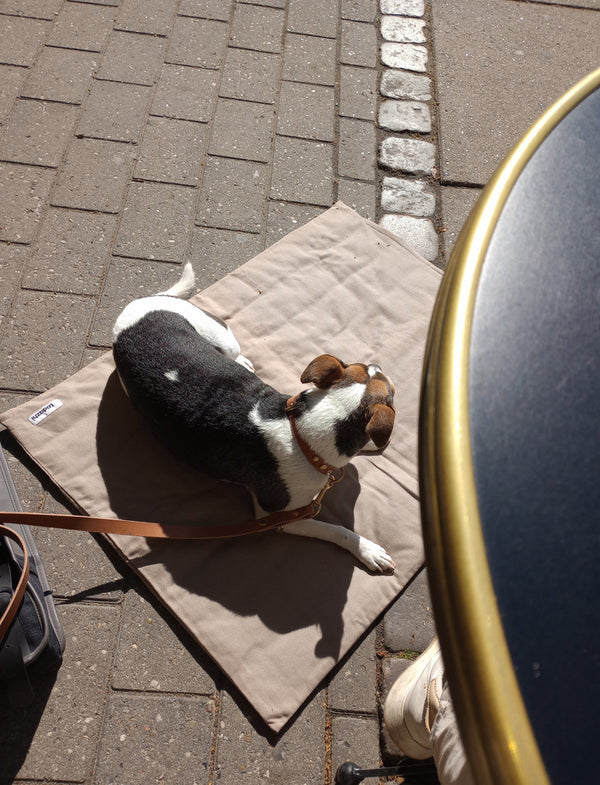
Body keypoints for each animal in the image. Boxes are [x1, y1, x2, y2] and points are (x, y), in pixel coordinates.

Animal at [111, 264, 398, 568]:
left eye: (365, 367)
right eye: (391, 392)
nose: (378, 363)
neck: (301, 436)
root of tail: (140, 301)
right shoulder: (280, 517)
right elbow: (335, 529)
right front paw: (367, 549)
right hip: (221, 336)